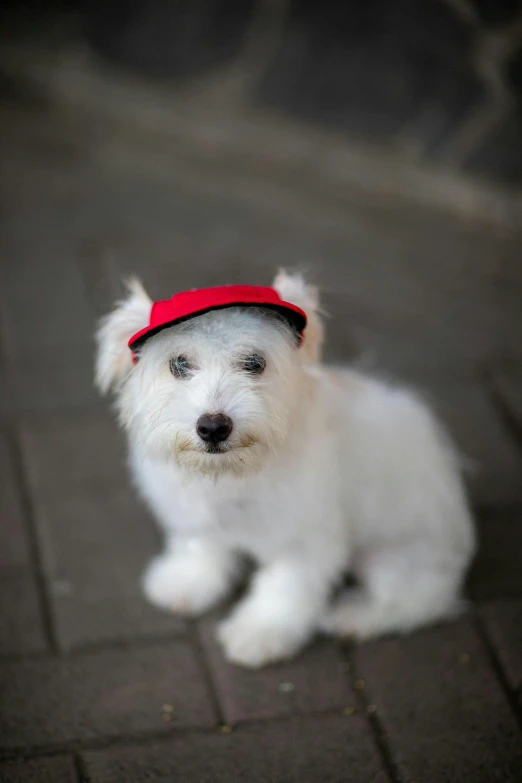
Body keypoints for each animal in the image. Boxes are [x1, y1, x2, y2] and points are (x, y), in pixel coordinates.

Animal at [95, 270, 474, 668]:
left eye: (253, 363)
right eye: (179, 364)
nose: (213, 427)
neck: (233, 473)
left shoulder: (305, 538)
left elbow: (285, 588)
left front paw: (260, 633)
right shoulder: (195, 513)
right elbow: (202, 547)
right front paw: (187, 582)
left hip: (396, 555)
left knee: (420, 599)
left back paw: (356, 616)